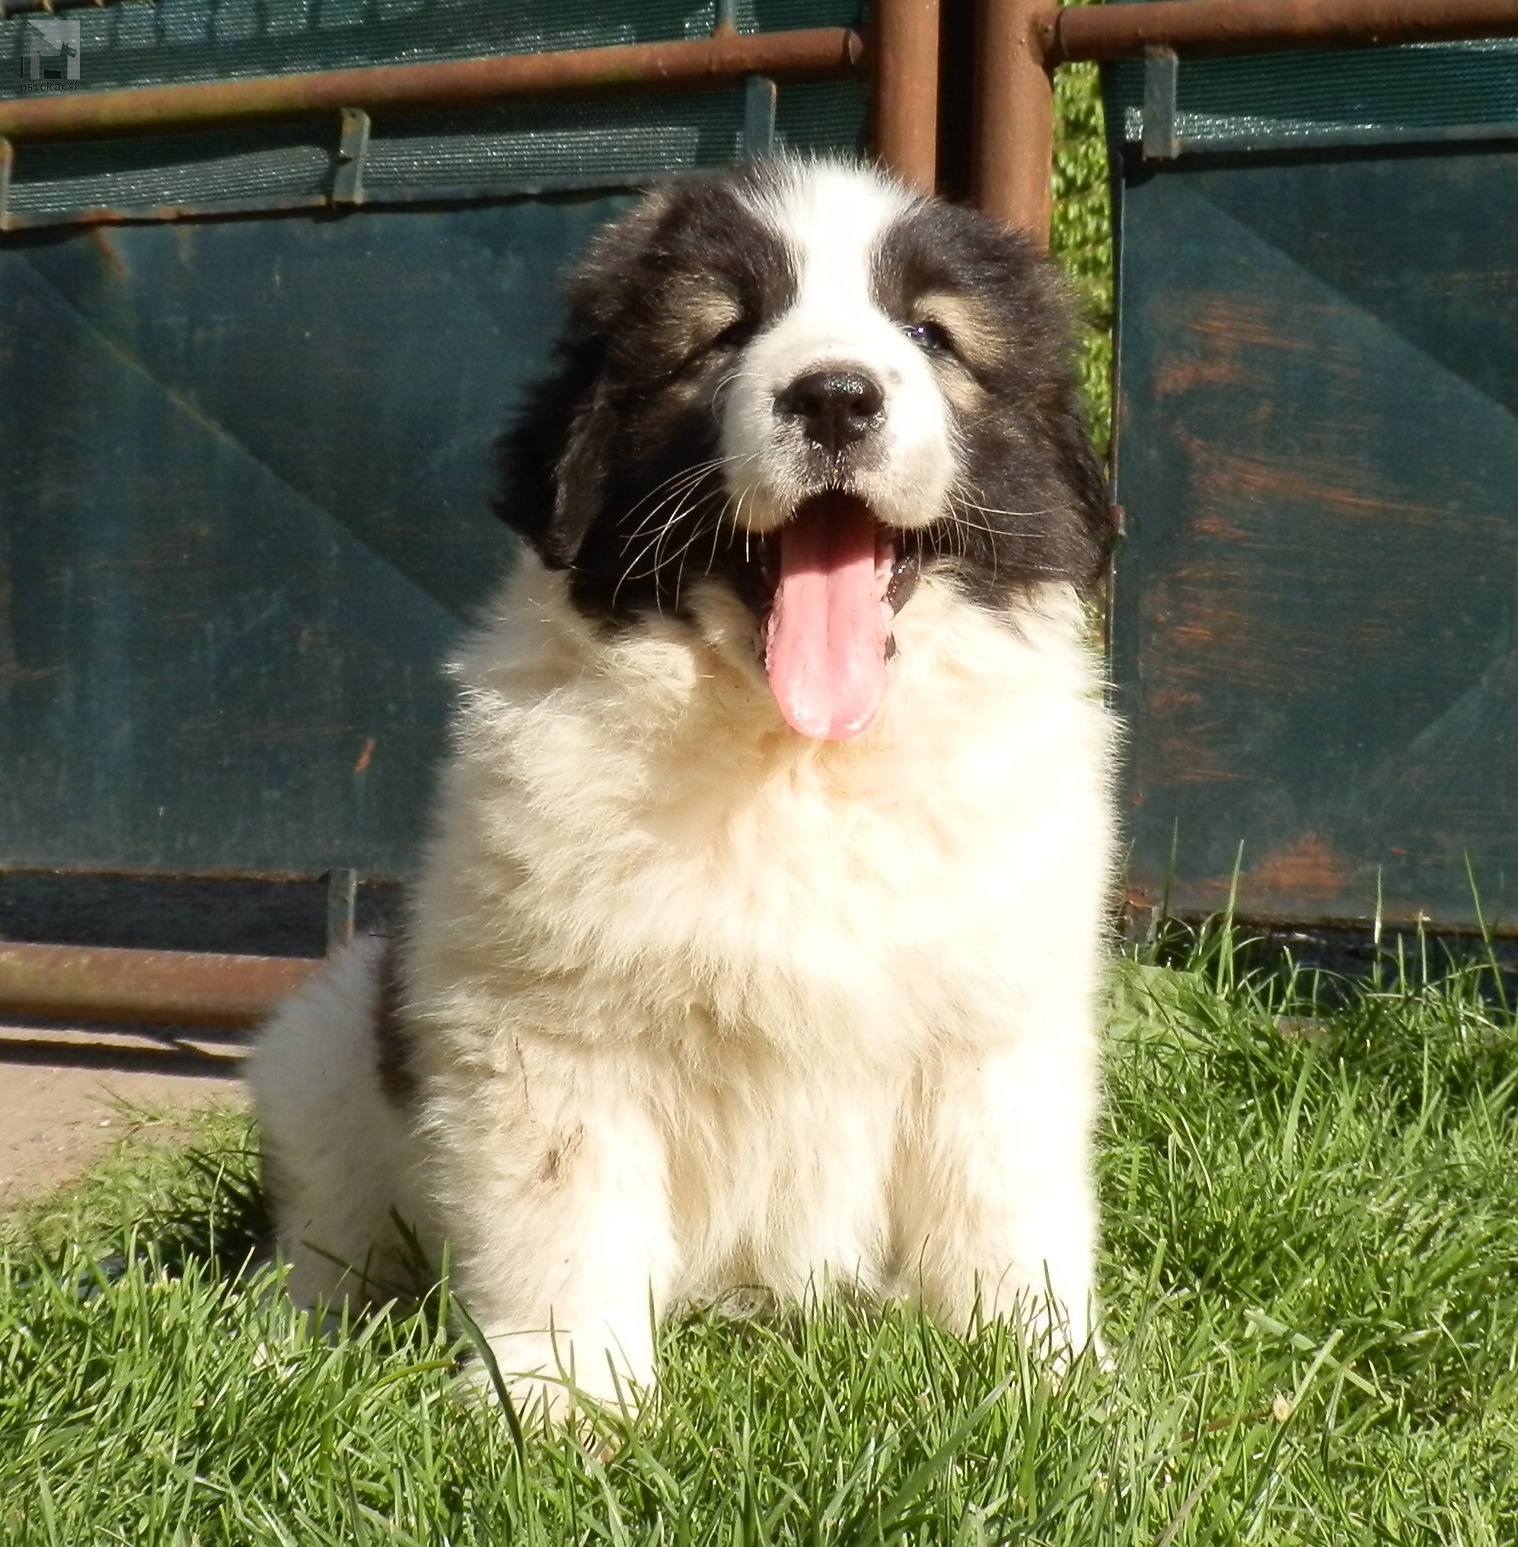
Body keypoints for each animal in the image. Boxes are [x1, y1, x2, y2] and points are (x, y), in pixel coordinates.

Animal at [250, 157, 1118, 1421]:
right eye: (725, 336)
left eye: (930, 334)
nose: (837, 396)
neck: (799, 759)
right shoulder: (545, 1023)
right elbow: (561, 1211)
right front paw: (560, 1399)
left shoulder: (997, 1012)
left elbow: (1006, 1205)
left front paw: (1046, 1377)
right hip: (325, 1045)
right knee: (326, 1235)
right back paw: (281, 1347)